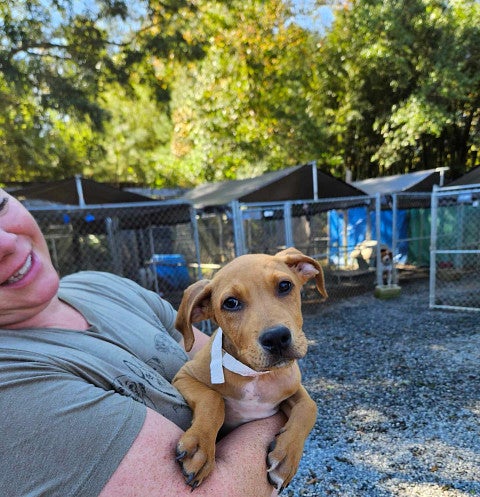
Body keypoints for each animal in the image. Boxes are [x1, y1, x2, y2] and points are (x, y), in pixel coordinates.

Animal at [172, 248, 326, 492]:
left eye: (285, 285)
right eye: (231, 303)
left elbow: (309, 408)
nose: (276, 338)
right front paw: (200, 446)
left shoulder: (293, 387)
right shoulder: (183, 376)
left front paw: (286, 458)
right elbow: (213, 398)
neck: (255, 375)